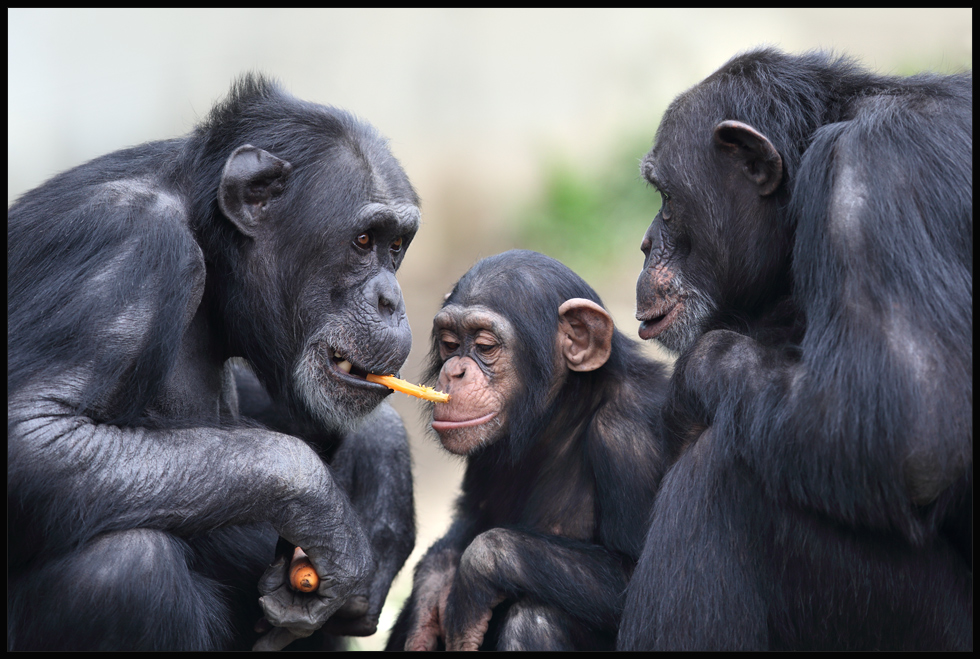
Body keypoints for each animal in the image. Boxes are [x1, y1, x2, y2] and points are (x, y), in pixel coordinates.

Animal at [9, 75, 420, 652]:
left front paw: (381, 456)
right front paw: (322, 508)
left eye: (397, 245)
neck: (204, 235)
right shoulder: (127, 246)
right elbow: (36, 432)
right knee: (121, 569)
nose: (391, 300)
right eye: (364, 240)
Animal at [384, 250, 680, 652]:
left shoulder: (630, 437)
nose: (454, 372)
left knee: (535, 618)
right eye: (450, 342)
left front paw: (474, 573)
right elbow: (469, 518)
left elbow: (638, 580)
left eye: (485, 346)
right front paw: (432, 587)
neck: (563, 413)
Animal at [620, 49, 972, 652]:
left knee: (721, 476)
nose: (645, 244)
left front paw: (689, 383)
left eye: (666, 200)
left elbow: (918, 425)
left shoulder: (870, 176)